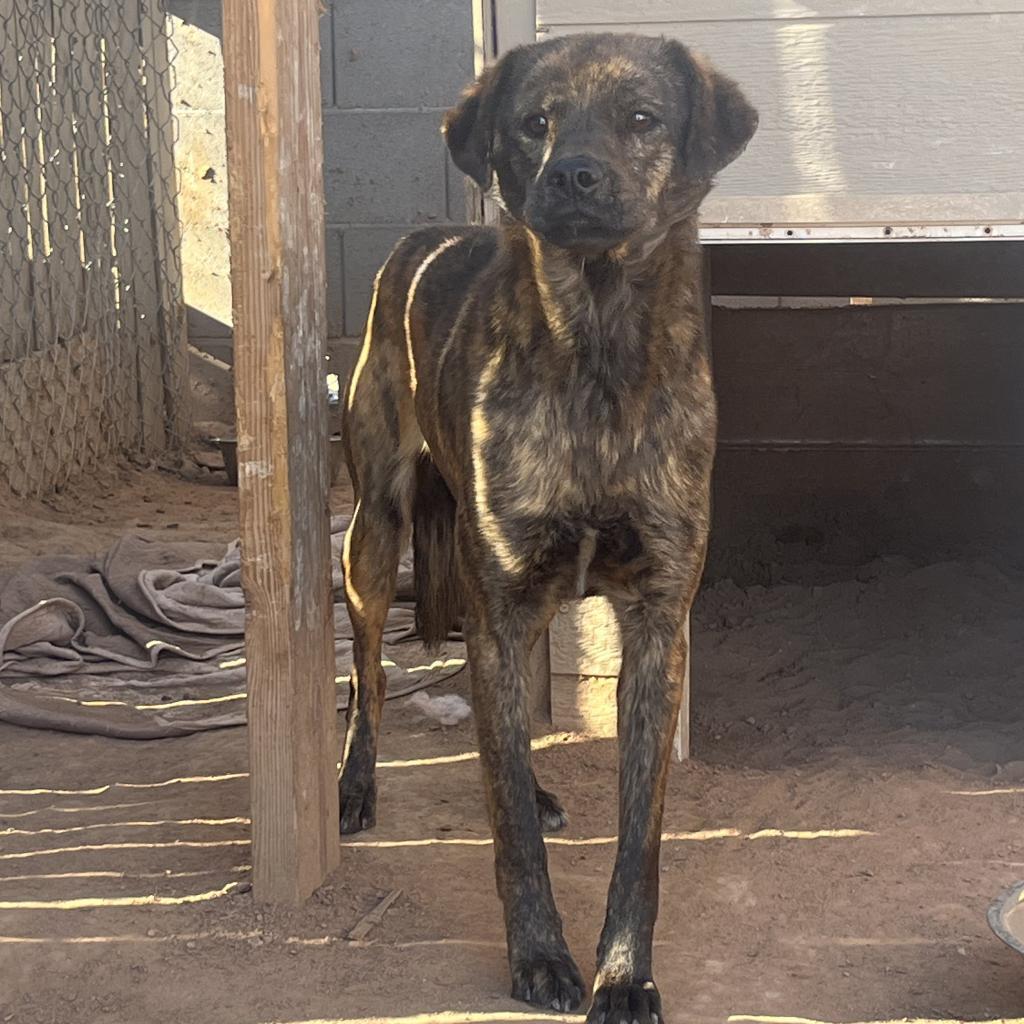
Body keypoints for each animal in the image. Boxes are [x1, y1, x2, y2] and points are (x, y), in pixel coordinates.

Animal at [339, 32, 757, 1024]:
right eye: (535, 122)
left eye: (641, 117)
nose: (571, 174)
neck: (597, 353)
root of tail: (426, 233)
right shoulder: (503, 598)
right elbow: (511, 835)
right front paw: (537, 958)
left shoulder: (655, 625)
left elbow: (638, 842)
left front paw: (624, 974)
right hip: (374, 534)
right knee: (372, 670)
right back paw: (356, 784)